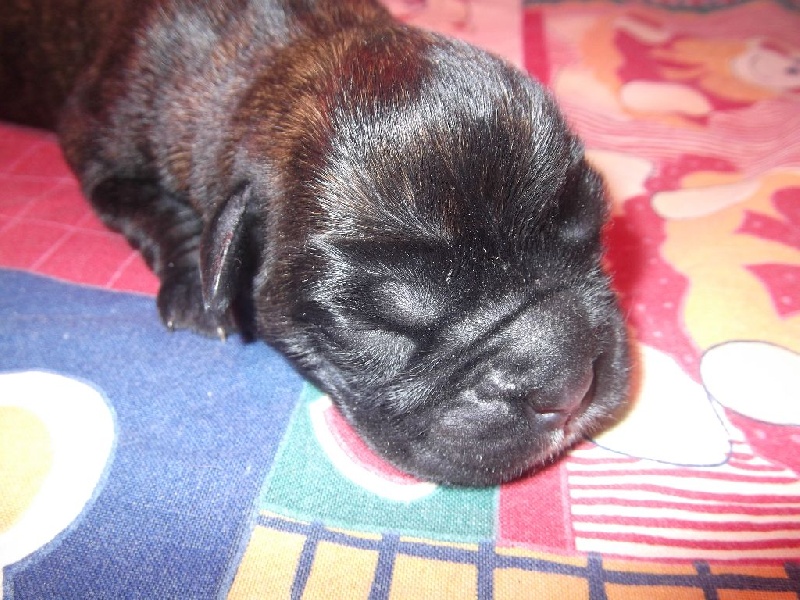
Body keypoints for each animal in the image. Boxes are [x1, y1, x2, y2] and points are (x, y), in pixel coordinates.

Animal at [0, 0, 630, 486]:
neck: (294, 54)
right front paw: (193, 282)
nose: (569, 379)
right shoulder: (96, 144)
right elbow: (148, 206)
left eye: (593, 225)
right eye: (379, 316)